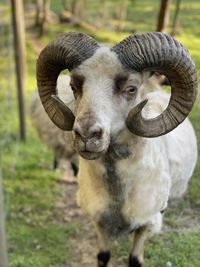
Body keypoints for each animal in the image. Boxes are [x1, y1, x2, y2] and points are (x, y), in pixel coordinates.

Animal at [36, 32, 197, 266]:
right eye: (74, 87)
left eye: (131, 89)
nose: (86, 135)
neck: (117, 191)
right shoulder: (98, 221)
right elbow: (103, 256)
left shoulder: (147, 224)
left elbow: (135, 259)